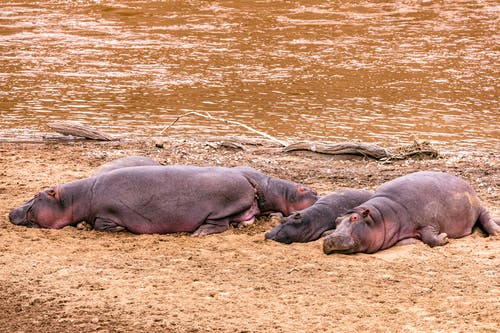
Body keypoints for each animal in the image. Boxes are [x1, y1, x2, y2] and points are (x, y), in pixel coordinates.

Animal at [322, 170, 498, 253]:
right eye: (337, 220)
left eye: (354, 218)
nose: (331, 238)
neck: (380, 216)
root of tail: (464, 182)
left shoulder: (428, 222)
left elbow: (430, 238)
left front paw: (444, 237)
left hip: (479, 207)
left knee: (486, 218)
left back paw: (496, 232)